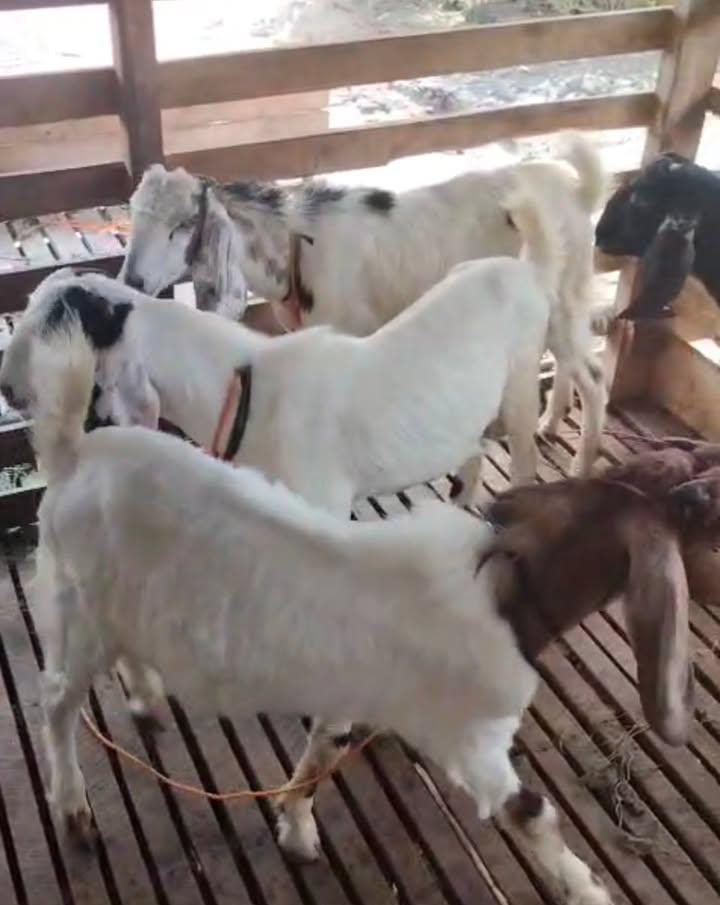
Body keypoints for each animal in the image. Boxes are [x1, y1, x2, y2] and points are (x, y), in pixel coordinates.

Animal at [25, 317, 699, 905]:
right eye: (689, 512)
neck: (503, 591)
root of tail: (72, 453)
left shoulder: (352, 697)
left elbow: (324, 751)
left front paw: (294, 824)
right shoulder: (468, 738)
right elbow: (530, 812)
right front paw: (589, 890)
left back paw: (146, 698)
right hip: (74, 601)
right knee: (57, 703)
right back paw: (74, 810)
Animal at [120, 132, 607, 456]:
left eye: (183, 225)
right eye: (133, 213)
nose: (134, 281)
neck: (296, 244)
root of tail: (576, 188)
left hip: (564, 295)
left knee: (594, 376)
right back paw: (548, 424)